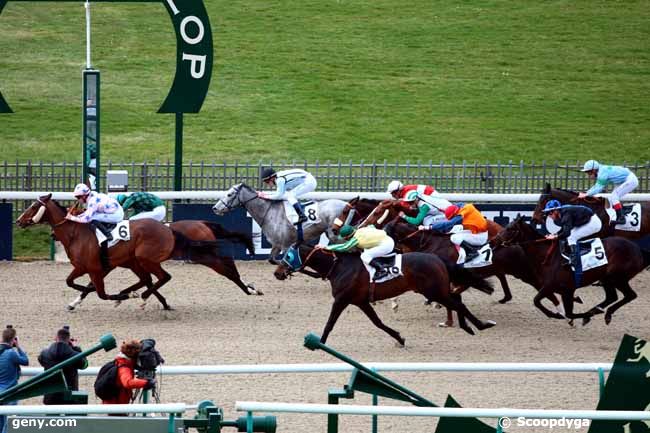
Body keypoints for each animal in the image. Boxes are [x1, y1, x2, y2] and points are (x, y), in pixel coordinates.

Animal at [15, 194, 223, 308]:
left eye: (34, 206)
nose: (18, 221)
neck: (75, 233)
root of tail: (168, 229)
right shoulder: (86, 267)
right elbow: (72, 282)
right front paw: (75, 302)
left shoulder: (94, 268)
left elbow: (100, 293)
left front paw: (122, 296)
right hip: (136, 261)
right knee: (149, 279)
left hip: (145, 259)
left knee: (162, 277)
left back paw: (142, 297)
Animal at [210, 182, 346, 260]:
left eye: (229, 194)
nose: (215, 208)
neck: (269, 212)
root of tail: (347, 204)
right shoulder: (277, 244)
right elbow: (272, 260)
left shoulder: (286, 245)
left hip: (335, 235)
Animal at [270, 243, 494, 344]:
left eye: (289, 255)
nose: (277, 272)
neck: (338, 267)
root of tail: (437, 259)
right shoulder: (360, 301)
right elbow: (377, 322)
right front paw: (399, 338)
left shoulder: (341, 300)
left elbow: (330, 323)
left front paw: (320, 343)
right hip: (438, 290)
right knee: (456, 299)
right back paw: (468, 326)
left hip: (433, 291)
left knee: (457, 303)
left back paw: (481, 325)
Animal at [492, 216, 648, 324]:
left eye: (510, 229)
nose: (493, 241)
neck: (547, 256)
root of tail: (638, 249)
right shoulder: (564, 290)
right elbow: (565, 311)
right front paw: (580, 315)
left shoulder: (556, 287)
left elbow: (538, 301)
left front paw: (560, 315)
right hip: (607, 279)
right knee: (612, 297)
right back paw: (598, 311)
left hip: (617, 278)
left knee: (630, 295)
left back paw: (606, 313)